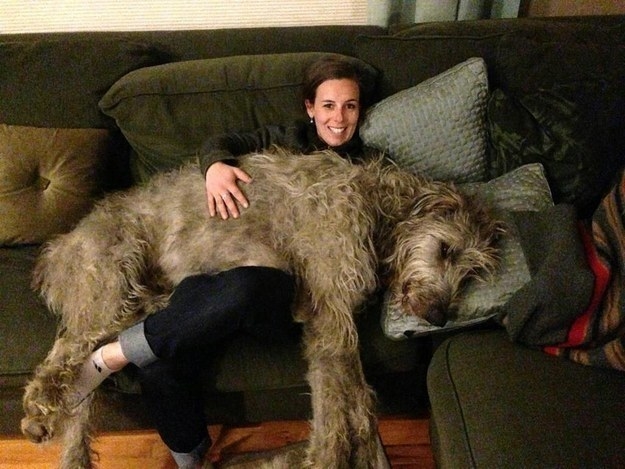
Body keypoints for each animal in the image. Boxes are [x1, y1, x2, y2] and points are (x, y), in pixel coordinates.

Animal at [20, 151, 502, 468]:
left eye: (471, 273)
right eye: (444, 248)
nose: (438, 315)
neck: (374, 207)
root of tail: (58, 248)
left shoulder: (332, 318)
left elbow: (360, 403)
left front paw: (366, 453)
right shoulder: (329, 314)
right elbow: (336, 407)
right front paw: (327, 459)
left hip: (128, 302)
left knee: (85, 380)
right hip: (109, 285)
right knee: (64, 353)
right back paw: (38, 411)